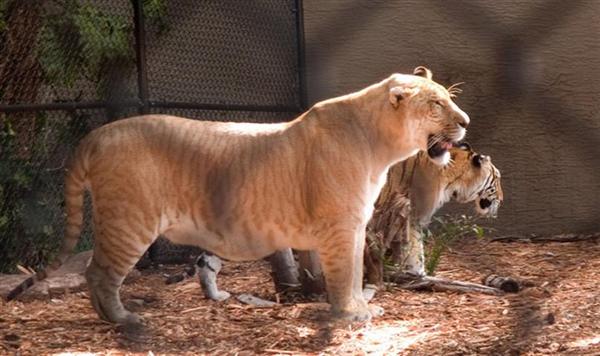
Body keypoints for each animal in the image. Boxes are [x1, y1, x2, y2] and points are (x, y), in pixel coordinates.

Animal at [7, 65, 472, 324]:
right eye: (436, 104)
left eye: (448, 100)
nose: (466, 122)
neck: (380, 145)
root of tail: (96, 135)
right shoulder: (339, 226)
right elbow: (344, 275)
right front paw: (349, 317)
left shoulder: (354, 226)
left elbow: (356, 273)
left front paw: (360, 308)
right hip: (129, 222)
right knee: (99, 274)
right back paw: (124, 322)